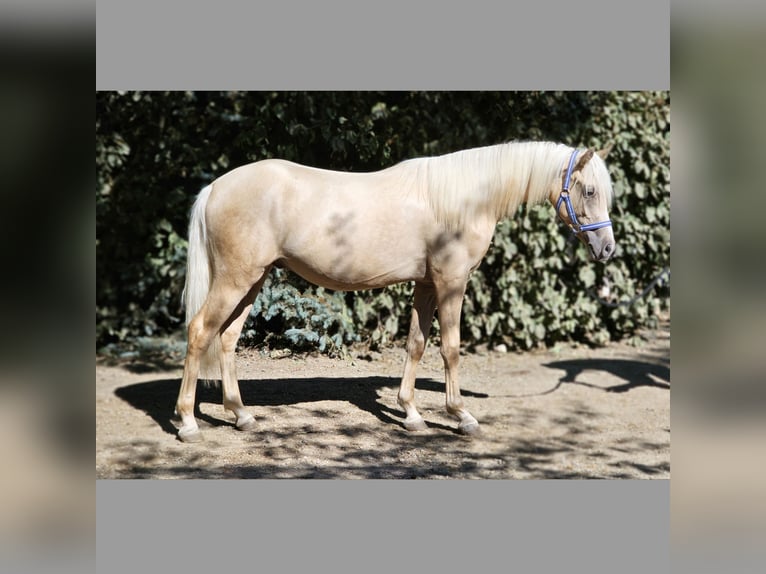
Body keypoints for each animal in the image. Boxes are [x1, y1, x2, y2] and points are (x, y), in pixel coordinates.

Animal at [176, 142, 616, 444]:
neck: (464, 199)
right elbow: (450, 348)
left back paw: (241, 415)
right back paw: (189, 423)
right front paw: (462, 415)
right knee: (200, 332)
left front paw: (412, 414)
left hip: (253, 279)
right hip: (235, 279)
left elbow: (416, 345)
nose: (607, 248)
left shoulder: (425, 284)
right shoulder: (451, 283)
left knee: (228, 338)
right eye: (589, 191)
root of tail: (216, 187)